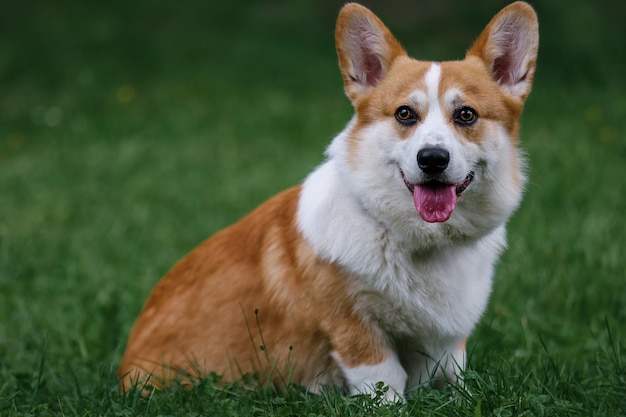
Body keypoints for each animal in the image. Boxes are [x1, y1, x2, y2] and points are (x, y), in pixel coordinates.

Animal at [118, 0, 536, 400]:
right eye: (405, 113)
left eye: (466, 115)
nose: (432, 158)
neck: (419, 240)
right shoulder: (354, 326)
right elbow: (385, 381)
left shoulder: (448, 342)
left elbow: (454, 377)